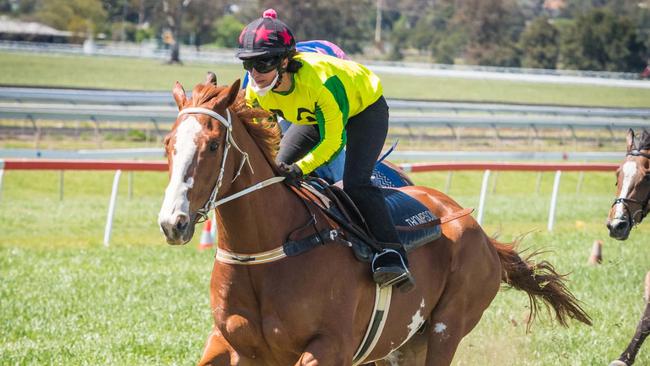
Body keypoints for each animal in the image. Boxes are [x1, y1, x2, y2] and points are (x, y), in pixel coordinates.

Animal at [158, 73, 592, 364]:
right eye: (168, 144)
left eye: (213, 145)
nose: (173, 222)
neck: (269, 250)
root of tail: (482, 235)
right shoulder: (238, 347)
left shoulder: (327, 348)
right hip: (401, 344)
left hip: (446, 328)